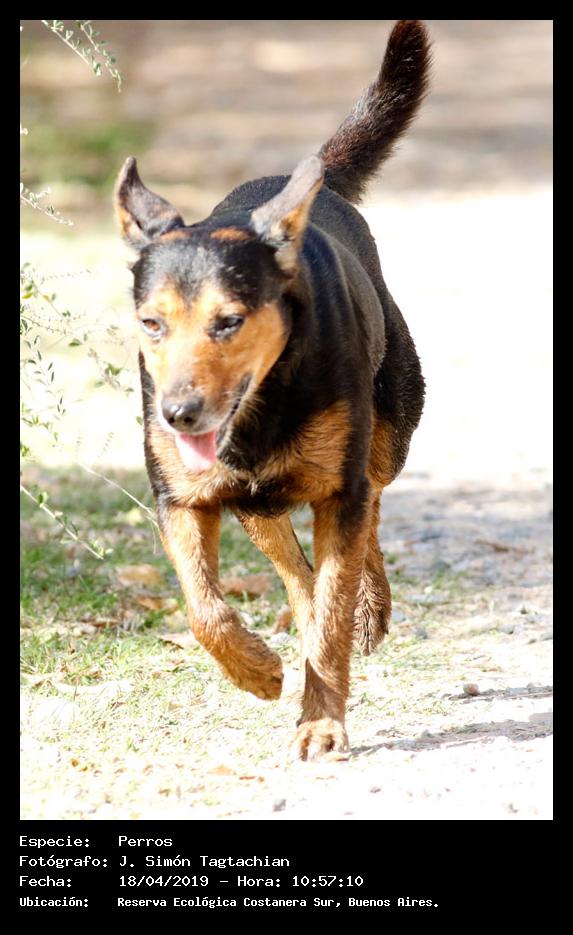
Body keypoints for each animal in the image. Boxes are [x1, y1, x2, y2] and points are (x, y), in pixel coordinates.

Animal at [114, 20, 430, 760]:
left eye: (229, 321)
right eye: (152, 323)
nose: (177, 414)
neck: (261, 409)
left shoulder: (339, 488)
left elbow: (335, 606)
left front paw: (321, 721)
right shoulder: (182, 496)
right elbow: (204, 608)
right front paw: (255, 668)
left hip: (388, 432)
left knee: (370, 511)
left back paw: (368, 607)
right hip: (255, 501)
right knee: (294, 566)